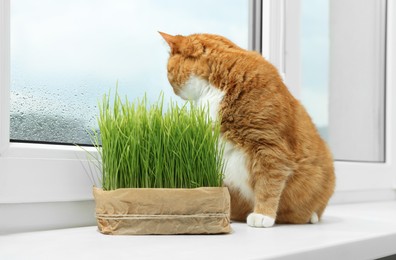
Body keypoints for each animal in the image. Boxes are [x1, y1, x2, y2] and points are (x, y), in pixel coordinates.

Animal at [159, 32, 336, 228]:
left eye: (168, 72)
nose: (174, 91)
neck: (217, 87)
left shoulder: (270, 147)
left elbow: (268, 184)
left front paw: (263, 215)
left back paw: (310, 216)